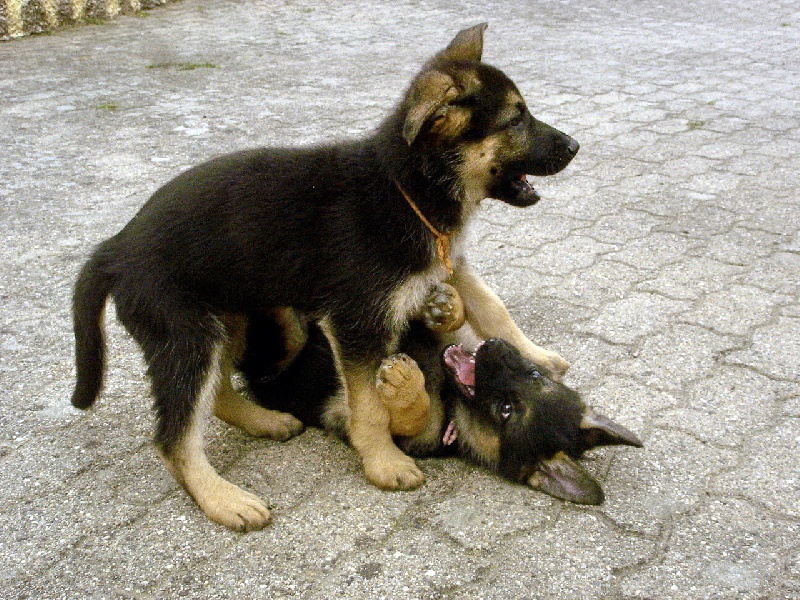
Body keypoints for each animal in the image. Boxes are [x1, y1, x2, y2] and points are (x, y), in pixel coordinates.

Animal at [70, 23, 576, 528]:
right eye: (515, 120)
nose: (574, 146)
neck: (406, 187)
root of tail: (115, 247)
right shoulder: (357, 322)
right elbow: (368, 406)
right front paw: (383, 463)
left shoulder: (447, 262)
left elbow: (492, 307)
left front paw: (535, 354)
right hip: (187, 334)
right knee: (175, 436)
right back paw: (223, 499)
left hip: (236, 317)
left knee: (216, 392)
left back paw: (265, 421)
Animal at [241, 288, 640, 504]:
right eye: (535, 374)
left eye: (506, 410)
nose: (492, 347)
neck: (449, 398)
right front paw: (446, 307)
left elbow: (401, 418)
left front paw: (405, 389)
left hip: (277, 355)